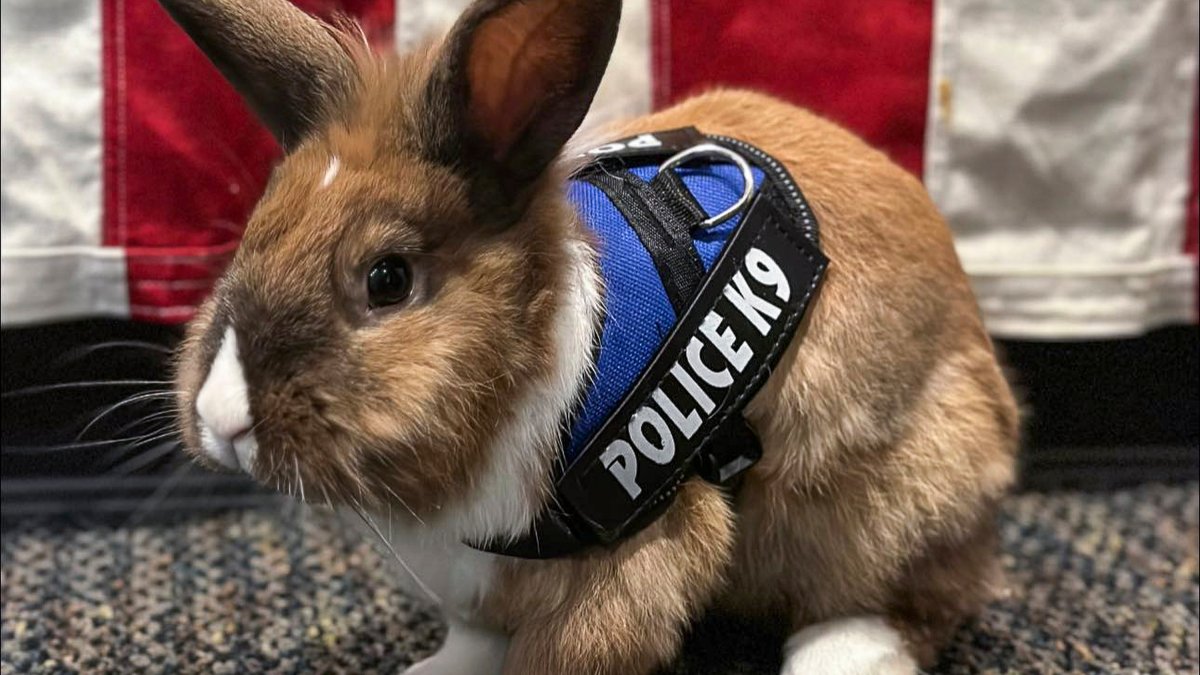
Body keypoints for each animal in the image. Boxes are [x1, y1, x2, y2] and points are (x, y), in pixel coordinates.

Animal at [166, 0, 1020, 673]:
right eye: (254, 234)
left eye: (387, 278)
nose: (221, 417)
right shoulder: (475, 584)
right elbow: (474, 642)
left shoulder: (623, 569)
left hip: (887, 500)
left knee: (912, 597)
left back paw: (841, 655)